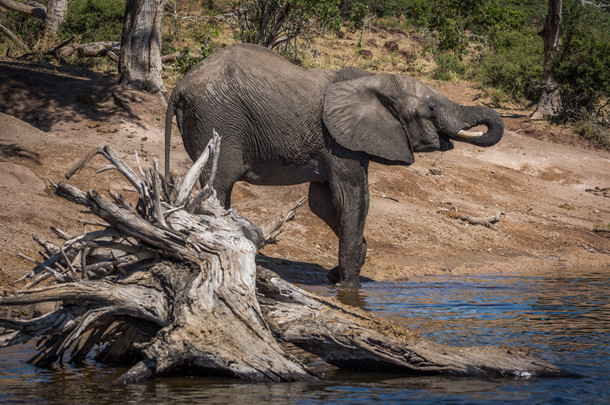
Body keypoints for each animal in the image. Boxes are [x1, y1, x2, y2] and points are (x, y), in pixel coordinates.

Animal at [164, 42, 502, 286]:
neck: (375, 80)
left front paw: (341, 270)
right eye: (431, 108)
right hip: (218, 120)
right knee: (219, 185)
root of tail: (180, 85)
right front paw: (349, 288)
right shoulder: (339, 141)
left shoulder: (334, 144)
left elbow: (323, 203)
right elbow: (352, 198)